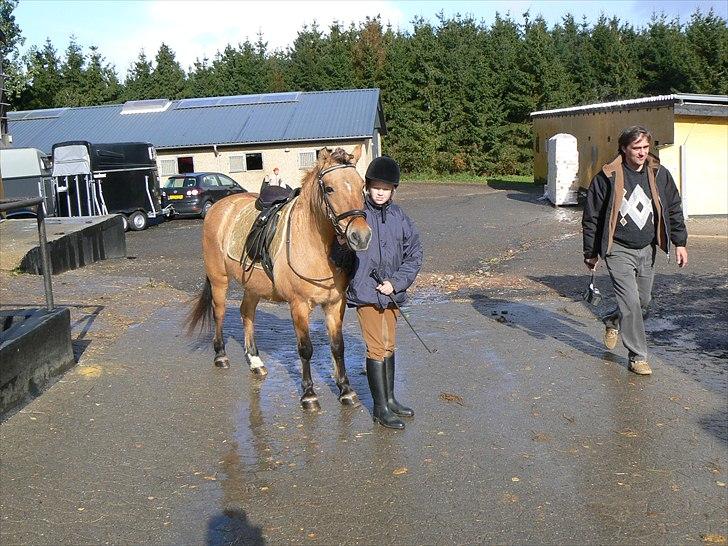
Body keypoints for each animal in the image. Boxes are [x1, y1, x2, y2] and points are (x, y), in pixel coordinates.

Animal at [185, 144, 372, 408]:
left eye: (361, 186)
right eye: (329, 188)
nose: (360, 236)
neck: (313, 243)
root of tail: (219, 207)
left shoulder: (335, 303)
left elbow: (338, 346)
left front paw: (346, 390)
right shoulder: (299, 305)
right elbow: (305, 349)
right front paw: (309, 395)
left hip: (252, 286)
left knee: (246, 313)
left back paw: (255, 362)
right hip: (219, 280)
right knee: (219, 312)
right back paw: (220, 355)